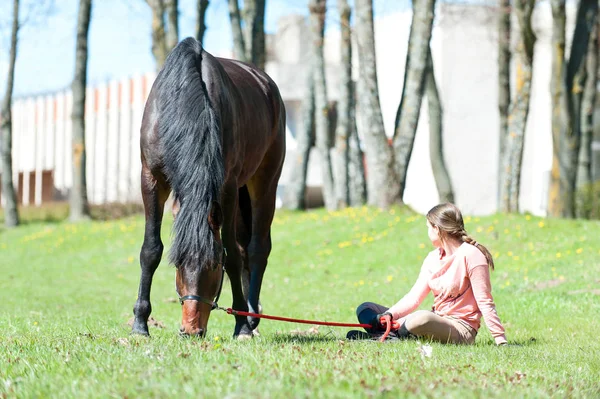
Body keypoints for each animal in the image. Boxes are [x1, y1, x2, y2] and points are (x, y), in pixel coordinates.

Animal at [132, 36, 288, 338]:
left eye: (215, 264)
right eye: (178, 262)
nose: (192, 329)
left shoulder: (227, 187)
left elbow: (232, 255)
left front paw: (241, 326)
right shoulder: (151, 179)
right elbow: (151, 249)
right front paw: (140, 324)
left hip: (264, 181)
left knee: (256, 248)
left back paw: (251, 316)